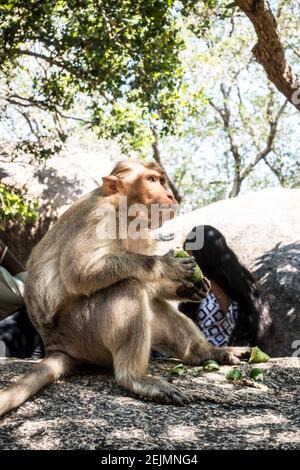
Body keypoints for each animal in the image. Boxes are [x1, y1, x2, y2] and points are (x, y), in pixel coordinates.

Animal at [0, 161, 250, 414]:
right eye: (151, 180)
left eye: (161, 180)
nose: (169, 194)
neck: (124, 212)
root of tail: (55, 346)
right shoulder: (99, 215)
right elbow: (79, 273)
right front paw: (166, 264)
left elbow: (150, 286)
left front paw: (191, 288)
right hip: (82, 334)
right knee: (126, 286)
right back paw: (135, 378)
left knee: (149, 299)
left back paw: (206, 352)